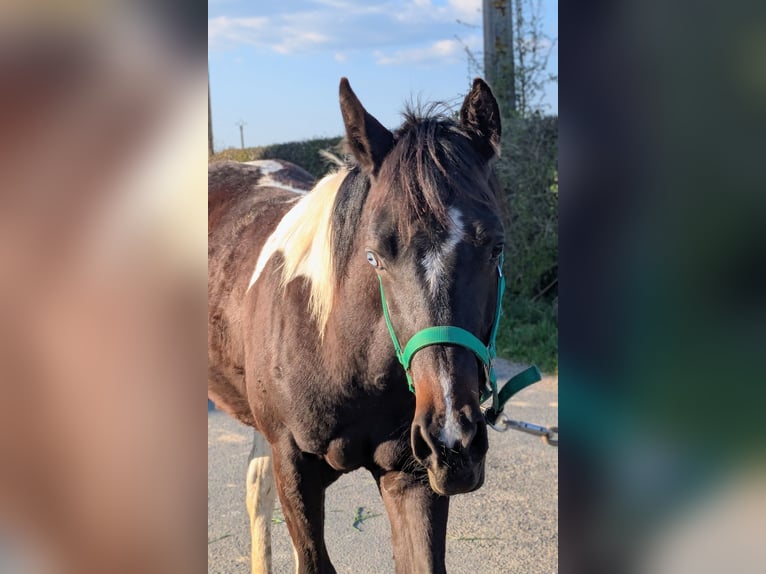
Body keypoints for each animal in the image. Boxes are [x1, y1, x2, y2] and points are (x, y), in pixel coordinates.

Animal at [208, 77, 504, 574]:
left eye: (497, 247)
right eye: (375, 255)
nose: (453, 441)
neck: (333, 347)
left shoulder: (411, 476)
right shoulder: (295, 470)